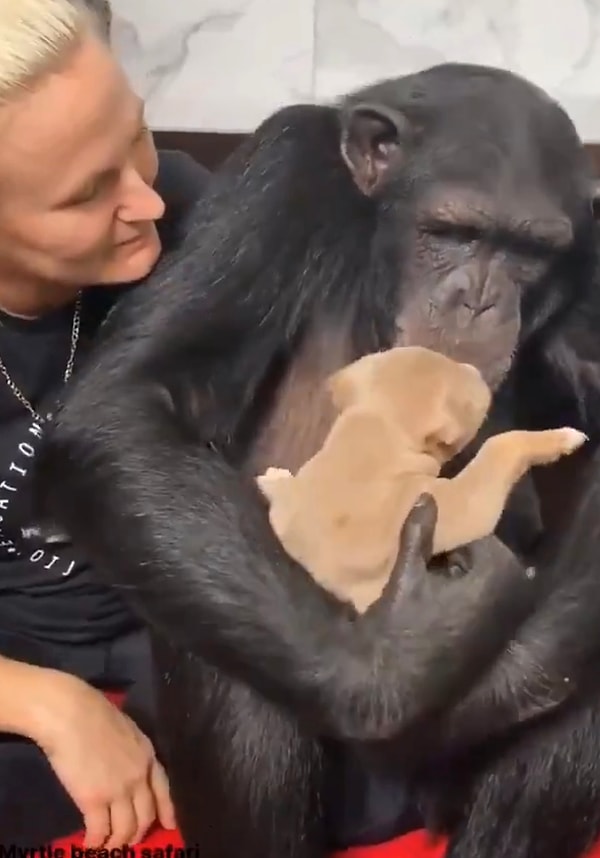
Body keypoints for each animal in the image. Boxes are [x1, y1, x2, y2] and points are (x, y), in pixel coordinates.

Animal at [255, 344, 584, 612]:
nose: (475, 368)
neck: (375, 435)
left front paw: (274, 480)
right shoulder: (453, 503)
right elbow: (500, 446)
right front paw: (561, 439)